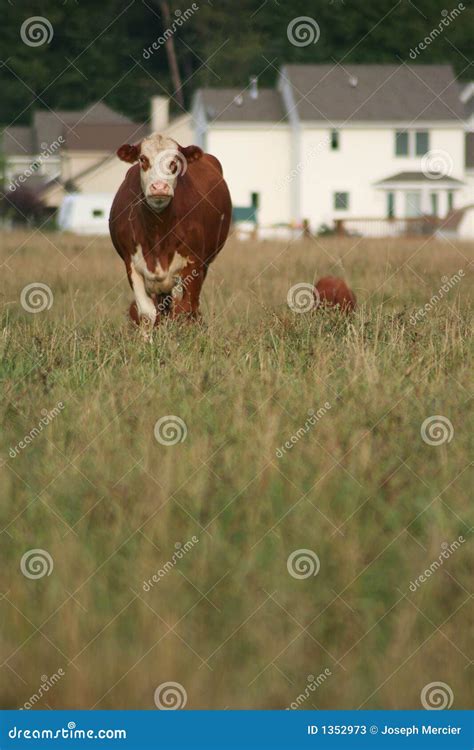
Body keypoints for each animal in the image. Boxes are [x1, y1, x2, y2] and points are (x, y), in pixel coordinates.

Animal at [109, 133, 232, 332]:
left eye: (175, 162)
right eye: (142, 159)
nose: (159, 187)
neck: (158, 230)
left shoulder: (194, 264)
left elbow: (186, 309)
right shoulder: (131, 265)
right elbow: (147, 314)